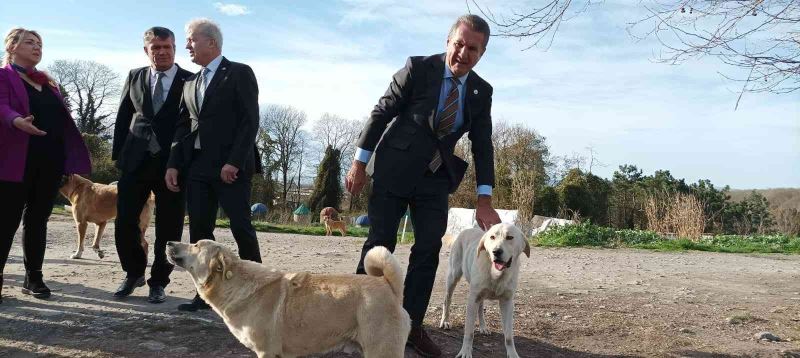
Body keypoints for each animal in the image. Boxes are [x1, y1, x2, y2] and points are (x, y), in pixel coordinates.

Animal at [166, 241, 410, 358]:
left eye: (196, 245)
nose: (168, 242)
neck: (234, 283)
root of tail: (388, 284)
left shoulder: (266, 352)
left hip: (381, 350)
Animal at [438, 224, 532, 358]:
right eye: (492, 237)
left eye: (510, 237)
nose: (496, 251)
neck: (496, 274)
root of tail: (466, 230)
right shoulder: (472, 300)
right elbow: (469, 332)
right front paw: (465, 352)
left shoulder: (507, 303)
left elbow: (509, 336)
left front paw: (513, 354)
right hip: (453, 277)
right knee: (447, 300)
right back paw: (445, 321)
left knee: (481, 307)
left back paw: (483, 327)